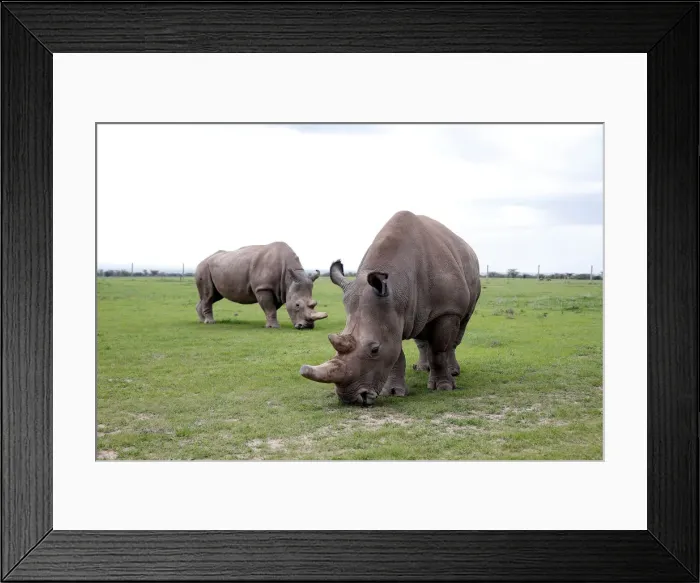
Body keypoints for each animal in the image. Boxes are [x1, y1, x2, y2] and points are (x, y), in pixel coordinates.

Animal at [195, 242, 328, 329]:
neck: (289, 279)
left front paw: (269, 324)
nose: (307, 326)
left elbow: (272, 307)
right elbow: (270, 307)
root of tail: (201, 261)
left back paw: (202, 321)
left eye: (315, 303)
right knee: (208, 295)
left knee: (213, 296)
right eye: (297, 305)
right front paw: (274, 327)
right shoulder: (263, 287)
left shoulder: (280, 290)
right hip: (204, 268)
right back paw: (210, 322)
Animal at [299, 211, 481, 405]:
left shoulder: (447, 310)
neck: (397, 284)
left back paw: (453, 372)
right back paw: (421, 369)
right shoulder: (392, 314)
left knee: (458, 330)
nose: (351, 399)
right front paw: (393, 392)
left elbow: (439, 350)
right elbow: (396, 353)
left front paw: (444, 387)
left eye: (374, 350)